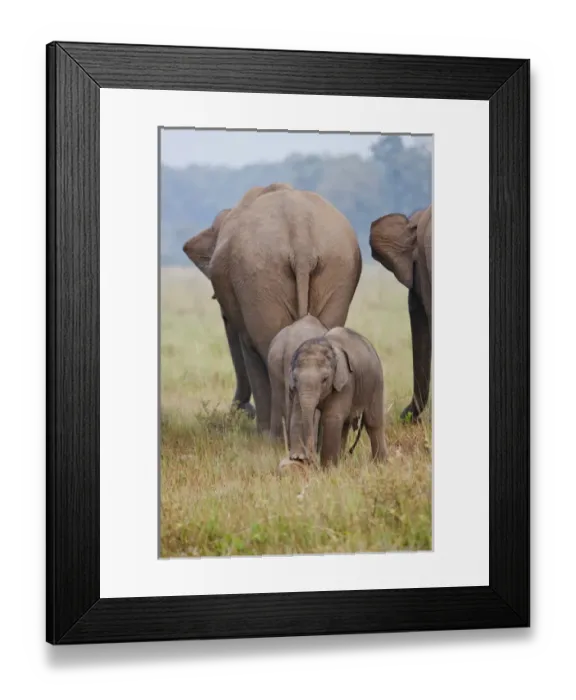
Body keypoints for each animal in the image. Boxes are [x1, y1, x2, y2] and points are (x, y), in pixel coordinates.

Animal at [287, 327, 388, 467]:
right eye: (295, 378)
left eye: (325, 379)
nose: (311, 459)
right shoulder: (297, 388)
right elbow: (298, 413)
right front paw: (297, 457)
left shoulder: (346, 382)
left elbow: (331, 417)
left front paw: (327, 468)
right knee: (344, 426)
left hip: (376, 383)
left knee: (373, 422)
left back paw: (381, 464)